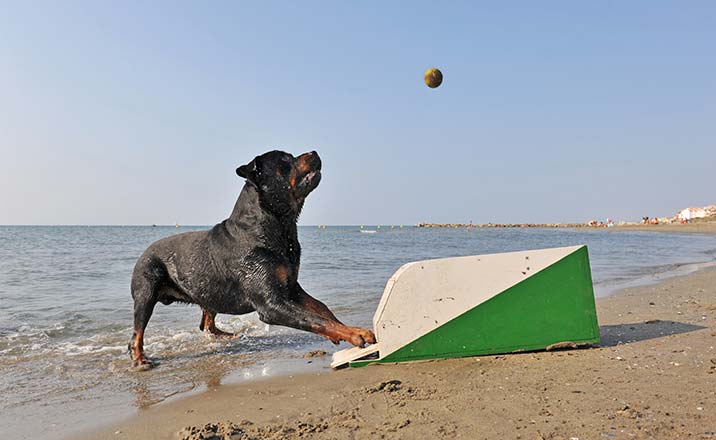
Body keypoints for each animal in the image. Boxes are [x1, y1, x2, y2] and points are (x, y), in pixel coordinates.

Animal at [130, 150, 374, 366]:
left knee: (207, 321)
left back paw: (227, 335)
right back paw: (140, 359)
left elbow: (321, 308)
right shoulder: (271, 304)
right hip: (145, 290)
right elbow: (311, 318)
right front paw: (353, 335)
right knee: (137, 332)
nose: (313, 152)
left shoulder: (291, 287)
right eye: (285, 159)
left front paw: (353, 330)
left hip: (208, 289)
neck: (278, 226)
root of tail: (144, 252)